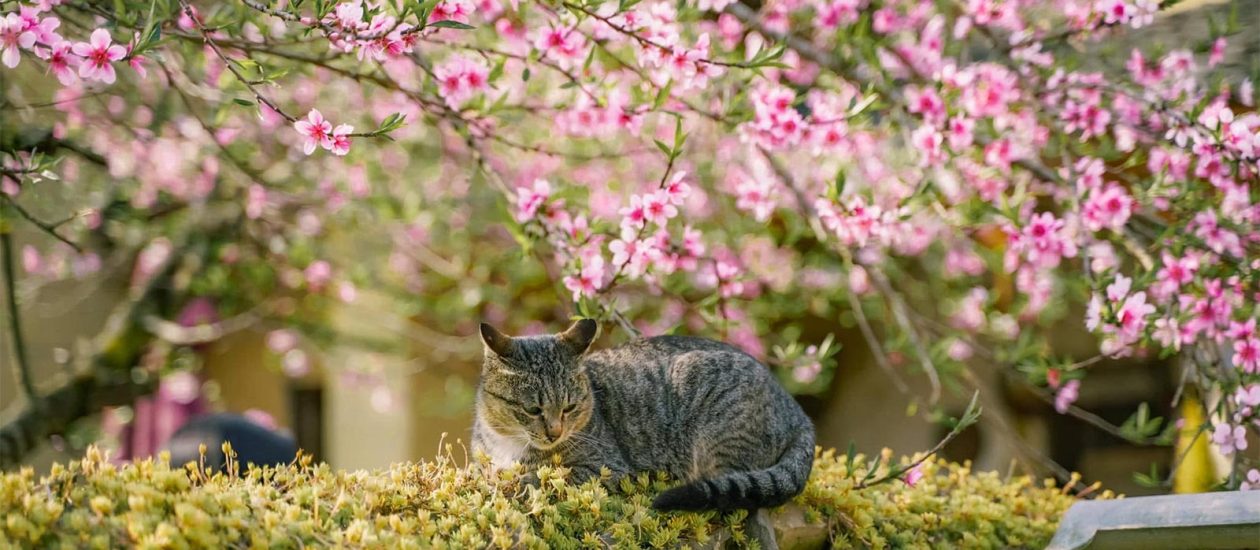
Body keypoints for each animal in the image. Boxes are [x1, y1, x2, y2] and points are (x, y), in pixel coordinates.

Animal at [468, 317, 811, 513]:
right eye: (532, 410)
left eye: (569, 407)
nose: (555, 432)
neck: (508, 442)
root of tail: (797, 409)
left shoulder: (605, 466)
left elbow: (550, 477)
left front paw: (518, 481)